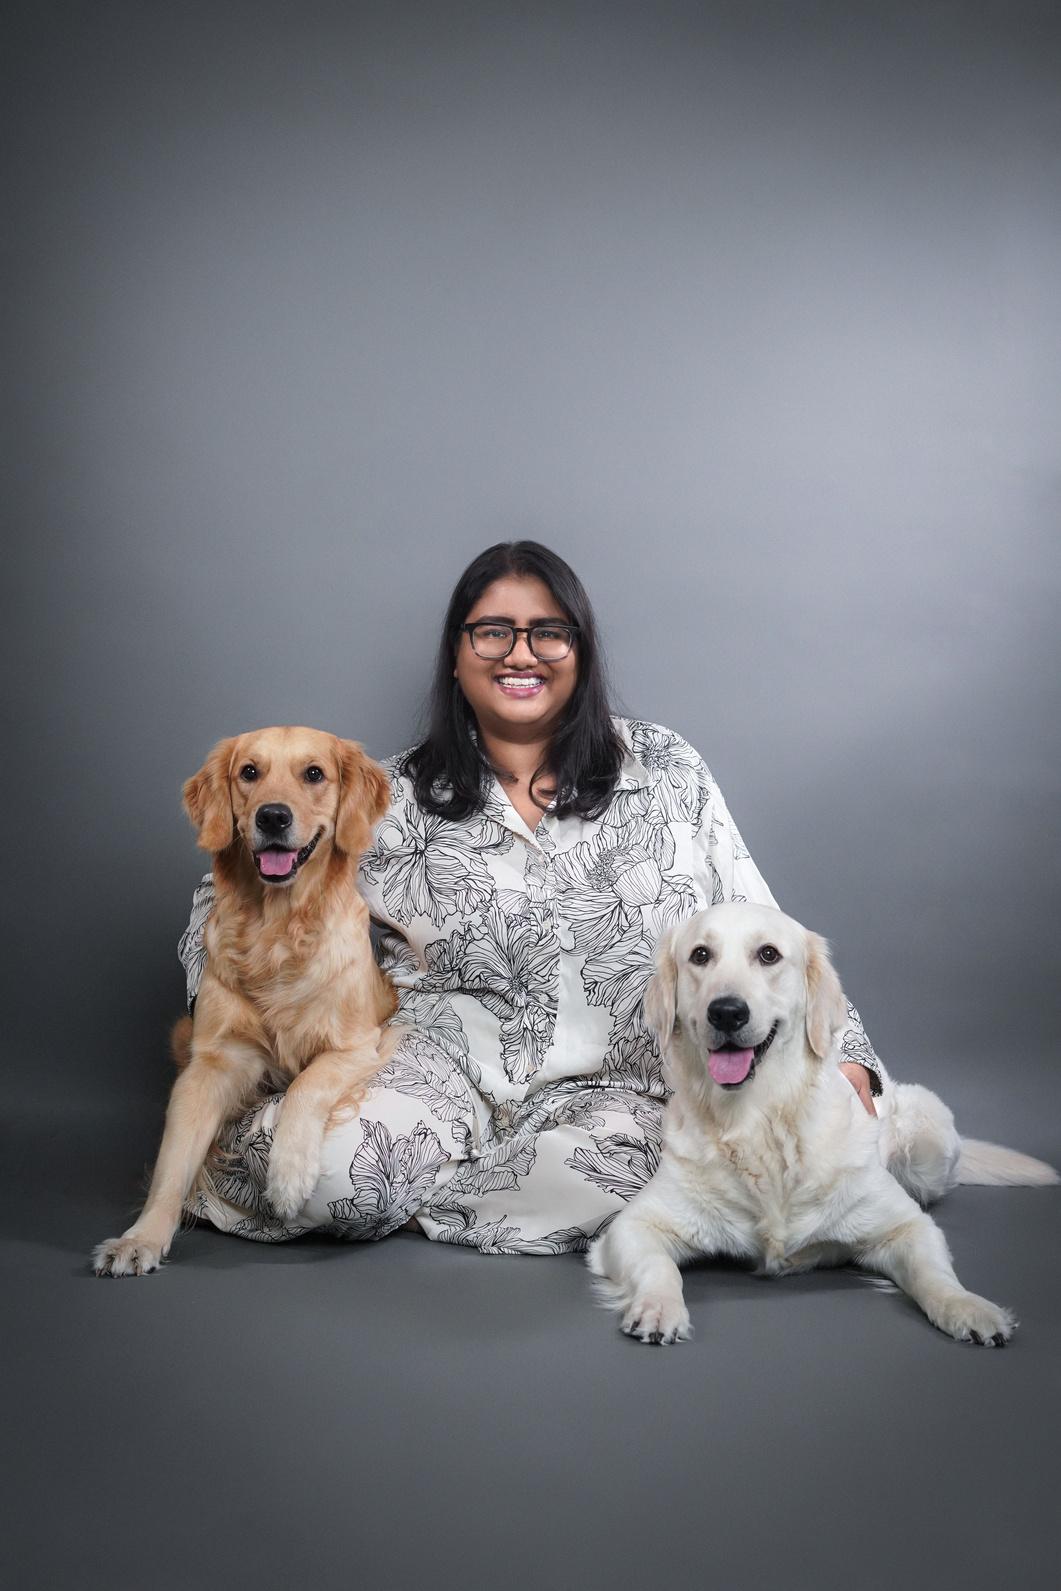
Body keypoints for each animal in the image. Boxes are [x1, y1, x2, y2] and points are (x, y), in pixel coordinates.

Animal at [94, 726, 397, 1276]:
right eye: (249, 772)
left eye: (314, 773)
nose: (272, 816)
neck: (277, 929)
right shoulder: (213, 1061)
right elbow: (173, 1159)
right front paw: (141, 1239)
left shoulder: (358, 1045)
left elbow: (307, 1085)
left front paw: (288, 1177)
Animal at [588, 902, 1057, 1345]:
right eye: (700, 955)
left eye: (769, 954)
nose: (726, 1012)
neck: (758, 1119)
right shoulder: (632, 1227)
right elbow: (658, 1267)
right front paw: (658, 1308)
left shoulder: (907, 1227)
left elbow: (934, 1274)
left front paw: (968, 1308)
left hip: (929, 1140)